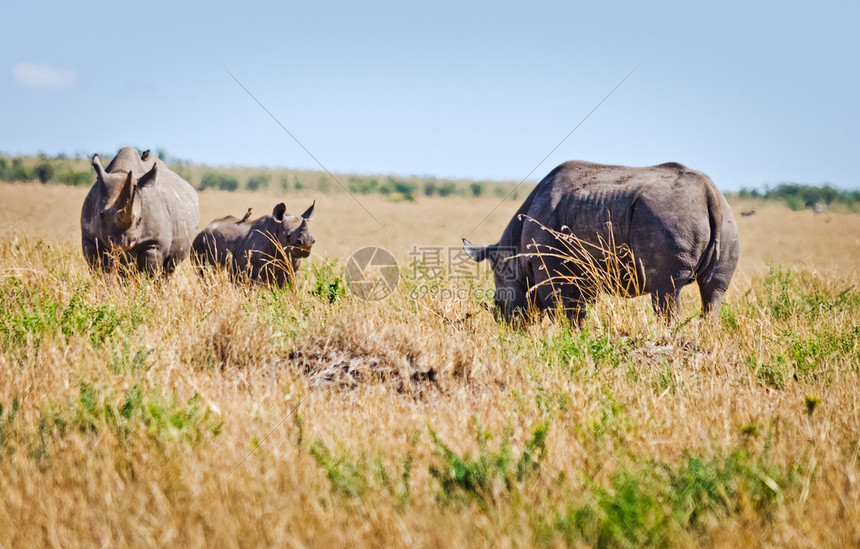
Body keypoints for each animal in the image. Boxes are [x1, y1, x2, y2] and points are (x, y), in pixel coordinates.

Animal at [464, 159, 740, 326]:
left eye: (499, 302)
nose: (509, 325)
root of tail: (709, 192)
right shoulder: (582, 269)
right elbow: (578, 309)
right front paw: (576, 335)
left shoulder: (549, 263)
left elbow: (557, 304)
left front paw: (557, 335)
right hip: (725, 219)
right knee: (713, 290)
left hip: (669, 215)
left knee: (666, 290)